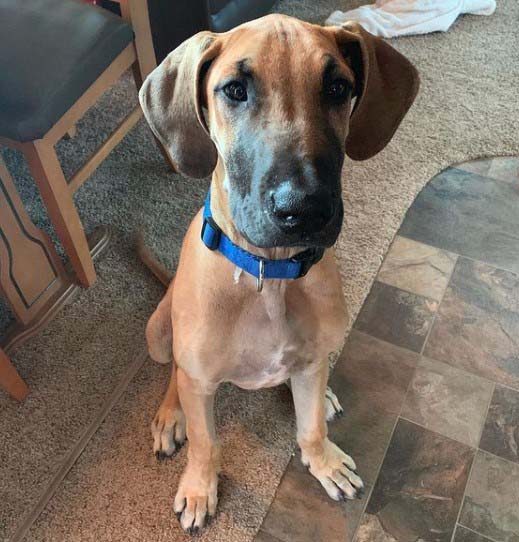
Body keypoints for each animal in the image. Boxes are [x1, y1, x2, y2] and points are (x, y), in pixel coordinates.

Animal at [138, 12, 418, 536]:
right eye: (234, 90)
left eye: (337, 87)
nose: (304, 208)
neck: (270, 272)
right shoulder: (199, 379)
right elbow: (206, 443)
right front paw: (199, 488)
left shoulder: (309, 358)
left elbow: (310, 428)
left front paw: (323, 459)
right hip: (158, 335)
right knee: (173, 373)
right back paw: (170, 415)